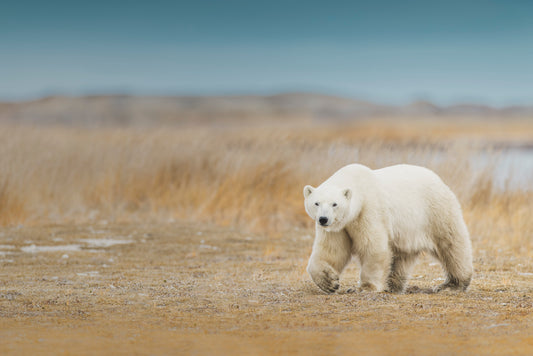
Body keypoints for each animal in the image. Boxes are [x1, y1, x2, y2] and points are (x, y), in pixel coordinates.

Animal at [304, 163, 474, 294]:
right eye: (316, 203)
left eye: (335, 204)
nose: (323, 219)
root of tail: (439, 179)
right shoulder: (339, 227)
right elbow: (331, 251)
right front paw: (329, 282)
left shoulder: (369, 210)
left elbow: (373, 247)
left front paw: (364, 288)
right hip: (407, 231)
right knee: (401, 257)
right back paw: (392, 285)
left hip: (435, 211)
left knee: (451, 244)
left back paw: (451, 285)